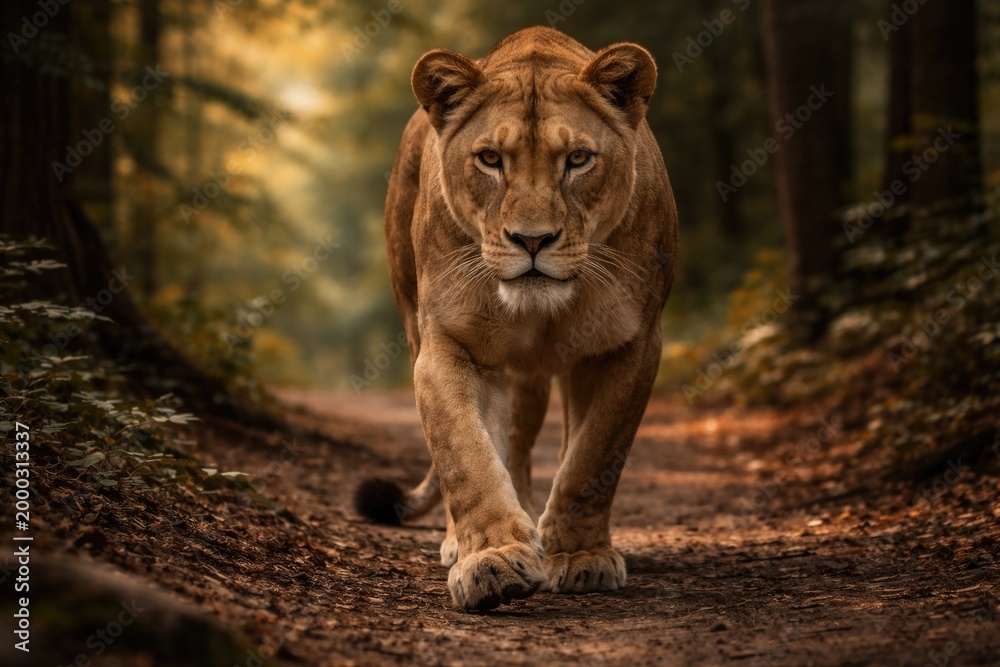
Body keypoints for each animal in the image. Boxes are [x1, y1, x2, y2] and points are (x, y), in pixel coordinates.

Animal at [355, 26, 678, 611]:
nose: (532, 240)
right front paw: (493, 561)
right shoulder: (450, 345)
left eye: (577, 158)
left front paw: (580, 556)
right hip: (419, 323)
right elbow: (466, 454)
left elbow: (594, 457)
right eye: (489, 158)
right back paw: (470, 541)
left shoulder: (631, 345)